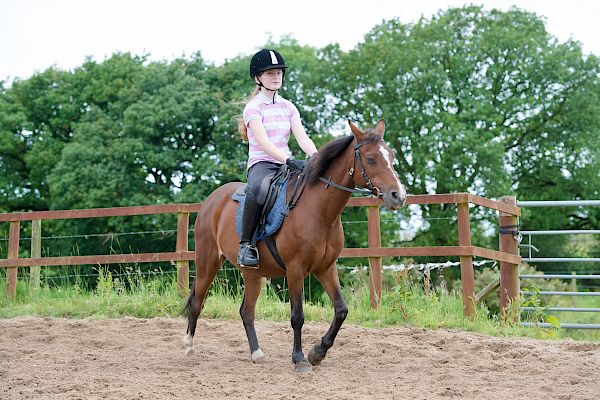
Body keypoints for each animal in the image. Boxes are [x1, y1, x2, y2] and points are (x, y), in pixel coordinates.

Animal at [184, 119, 408, 372]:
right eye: (370, 158)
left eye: (391, 156)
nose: (398, 196)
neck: (319, 211)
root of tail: (211, 201)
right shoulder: (295, 269)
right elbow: (297, 316)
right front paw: (300, 358)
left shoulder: (326, 268)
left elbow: (341, 310)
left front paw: (318, 353)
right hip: (208, 261)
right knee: (197, 302)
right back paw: (189, 347)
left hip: (252, 273)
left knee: (246, 311)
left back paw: (256, 353)